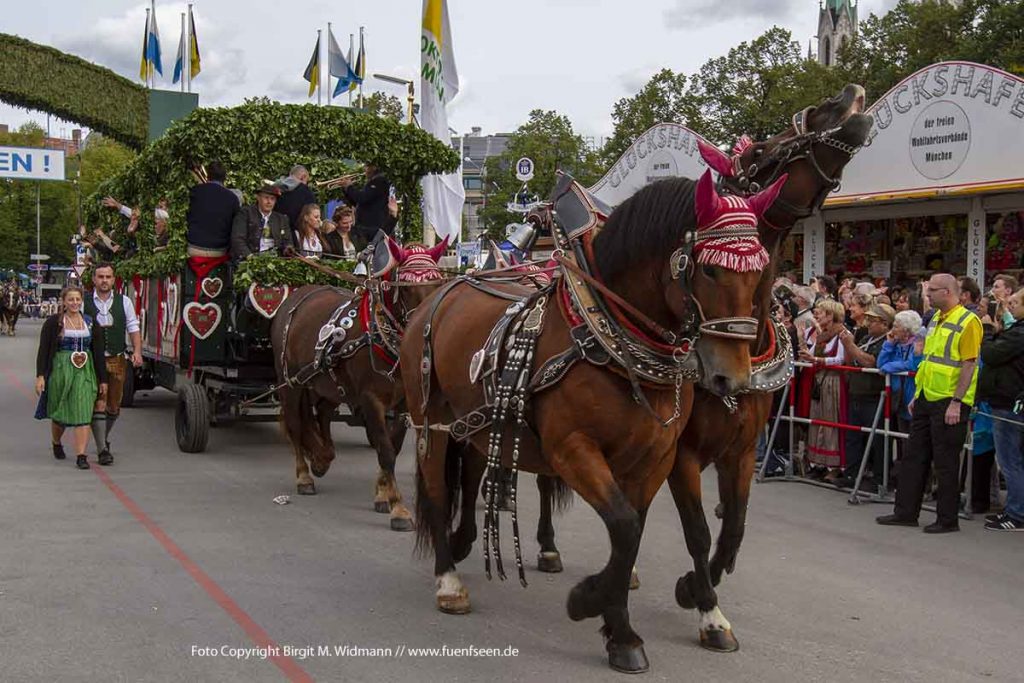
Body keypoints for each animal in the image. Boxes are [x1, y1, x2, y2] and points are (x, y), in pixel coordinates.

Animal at [403, 172, 778, 671]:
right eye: (710, 270)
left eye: (762, 273)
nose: (731, 379)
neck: (608, 337)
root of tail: (439, 295)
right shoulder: (575, 450)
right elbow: (627, 527)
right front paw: (591, 602)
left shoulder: (659, 459)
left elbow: (637, 535)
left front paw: (619, 628)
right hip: (431, 423)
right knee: (439, 490)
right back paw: (448, 581)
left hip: (478, 426)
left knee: (472, 475)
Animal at [667, 83, 876, 651]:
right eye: (760, 151)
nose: (846, 94)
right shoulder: (682, 455)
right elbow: (697, 530)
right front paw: (705, 607)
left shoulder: (740, 451)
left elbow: (734, 527)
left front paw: (696, 587)